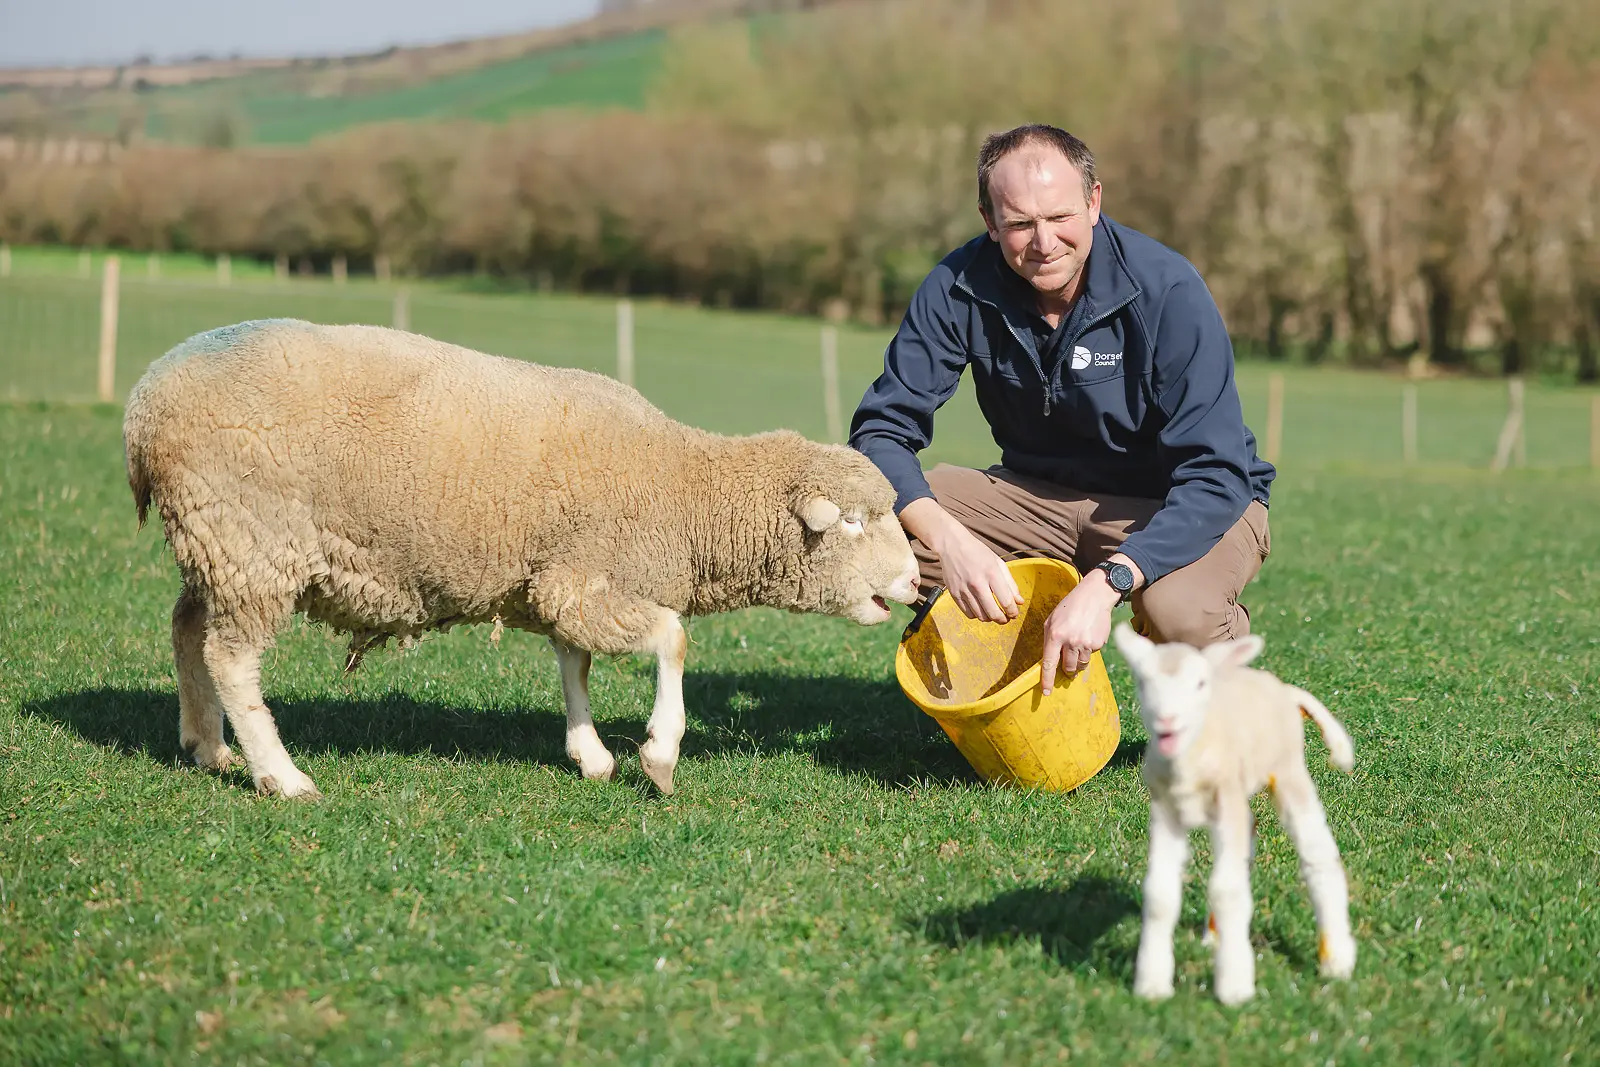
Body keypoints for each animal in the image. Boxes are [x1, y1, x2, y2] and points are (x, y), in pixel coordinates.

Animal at [123, 318, 921, 799]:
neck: (681, 488)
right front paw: (658, 755)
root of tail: (144, 405)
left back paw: (207, 746)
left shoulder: (561, 579)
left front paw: (589, 754)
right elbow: (672, 637)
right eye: (857, 522)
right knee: (230, 657)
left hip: (215, 544)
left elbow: (574, 664)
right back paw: (280, 774)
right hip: (251, 539)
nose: (917, 580)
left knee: (186, 628)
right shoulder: (586, 578)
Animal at [1110, 622, 1356, 1006]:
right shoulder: (1165, 811)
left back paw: (1337, 960)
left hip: (1287, 772)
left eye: (1200, 683)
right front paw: (1151, 985)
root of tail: (1284, 690)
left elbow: (1226, 891)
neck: (1188, 765)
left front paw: (1235, 987)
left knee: (1316, 853)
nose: (1167, 720)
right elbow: (1160, 895)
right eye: (1142, 681)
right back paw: (1215, 936)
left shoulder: (1227, 803)